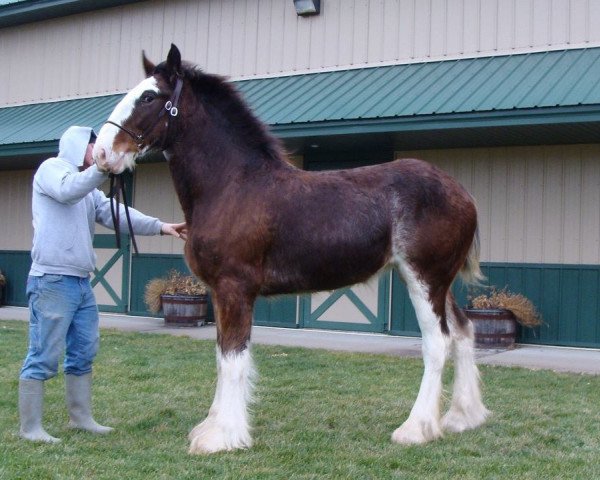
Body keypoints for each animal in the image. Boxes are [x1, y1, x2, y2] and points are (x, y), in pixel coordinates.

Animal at [92, 44, 488, 454]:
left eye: (149, 97)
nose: (102, 153)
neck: (232, 186)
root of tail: (462, 193)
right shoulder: (219, 292)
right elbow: (221, 354)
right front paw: (211, 427)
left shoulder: (235, 289)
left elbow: (233, 358)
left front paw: (222, 436)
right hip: (439, 283)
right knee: (464, 331)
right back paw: (462, 417)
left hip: (424, 278)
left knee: (438, 342)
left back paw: (416, 428)